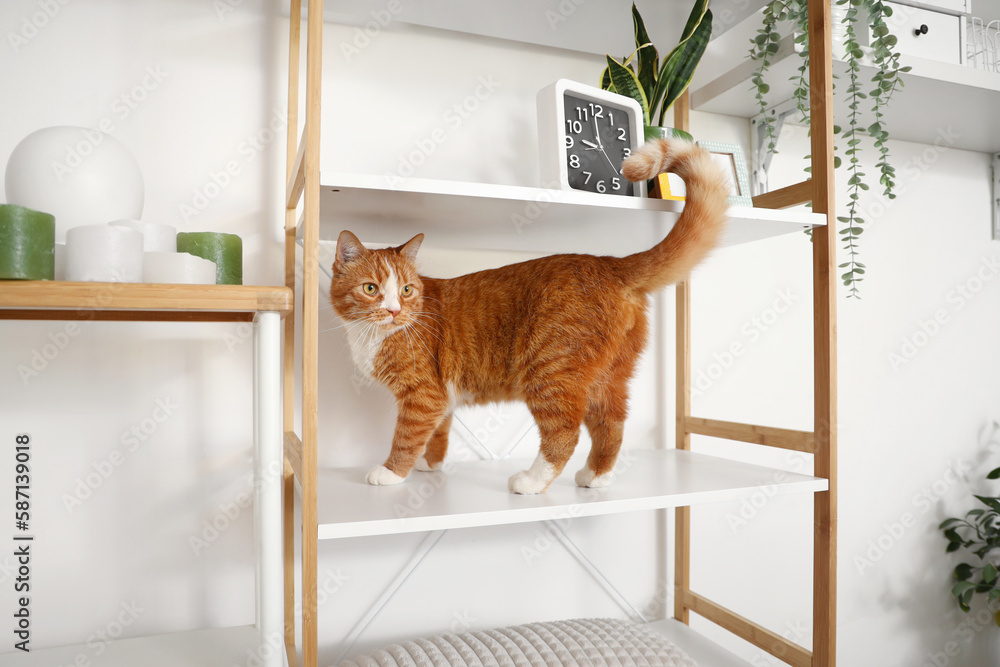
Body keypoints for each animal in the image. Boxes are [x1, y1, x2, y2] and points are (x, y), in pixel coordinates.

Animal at [332, 138, 732, 494]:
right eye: (371, 288)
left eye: (405, 290)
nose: (393, 309)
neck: (369, 334)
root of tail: (608, 263)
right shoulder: (441, 399)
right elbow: (437, 434)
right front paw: (430, 465)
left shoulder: (422, 394)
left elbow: (406, 436)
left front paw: (392, 472)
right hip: (607, 377)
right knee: (612, 425)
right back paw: (596, 477)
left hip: (549, 370)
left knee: (565, 432)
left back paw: (532, 481)